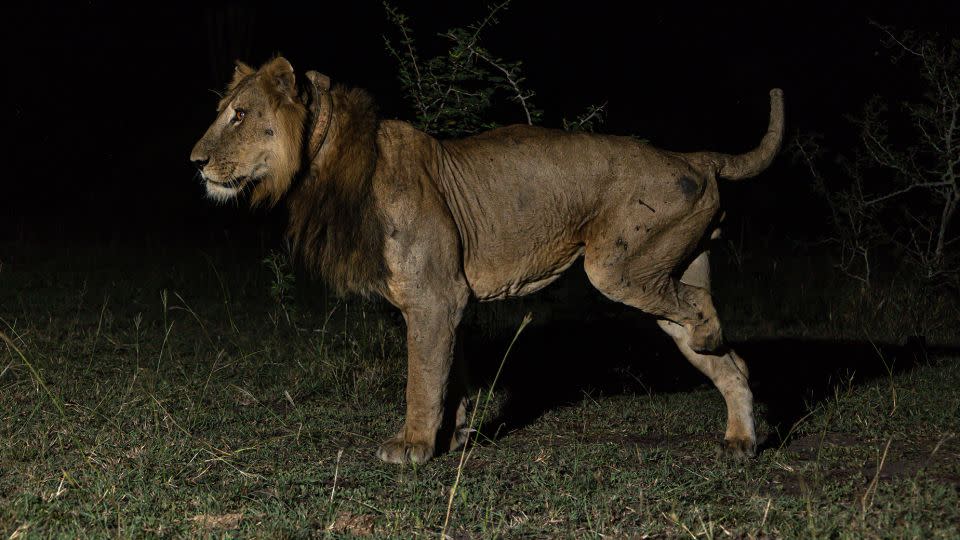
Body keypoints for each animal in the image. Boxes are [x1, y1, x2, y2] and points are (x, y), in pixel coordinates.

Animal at [191, 58, 784, 464]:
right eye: (224, 112)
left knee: (702, 314)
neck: (325, 163)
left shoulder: (435, 296)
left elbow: (422, 377)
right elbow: (449, 373)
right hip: (665, 269)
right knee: (731, 362)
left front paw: (412, 446)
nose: (195, 162)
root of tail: (692, 156)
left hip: (618, 267)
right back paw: (740, 441)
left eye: (239, 115)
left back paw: (712, 341)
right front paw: (451, 437)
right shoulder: (448, 300)